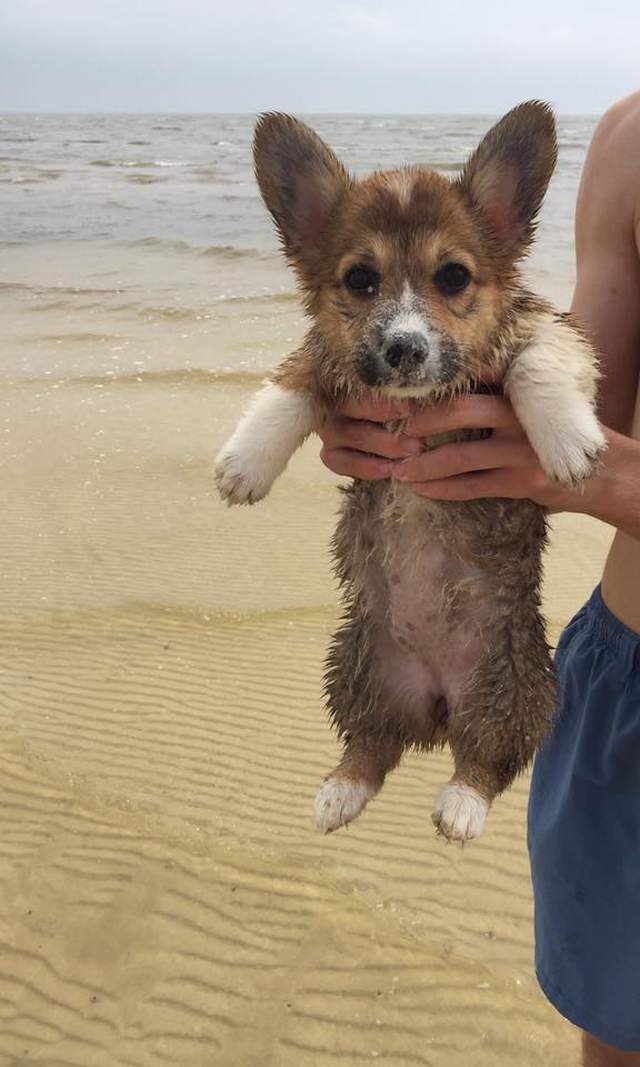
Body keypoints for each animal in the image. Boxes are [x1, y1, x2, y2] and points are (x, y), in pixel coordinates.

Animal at [215, 106, 605, 840]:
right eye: (361, 280)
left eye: (452, 277)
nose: (403, 348)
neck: (416, 402)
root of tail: (440, 701)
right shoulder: (330, 355)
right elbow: (290, 385)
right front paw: (244, 462)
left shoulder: (544, 326)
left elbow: (538, 362)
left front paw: (569, 441)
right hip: (358, 667)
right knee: (373, 745)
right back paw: (340, 791)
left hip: (512, 687)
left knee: (489, 758)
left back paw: (461, 805)